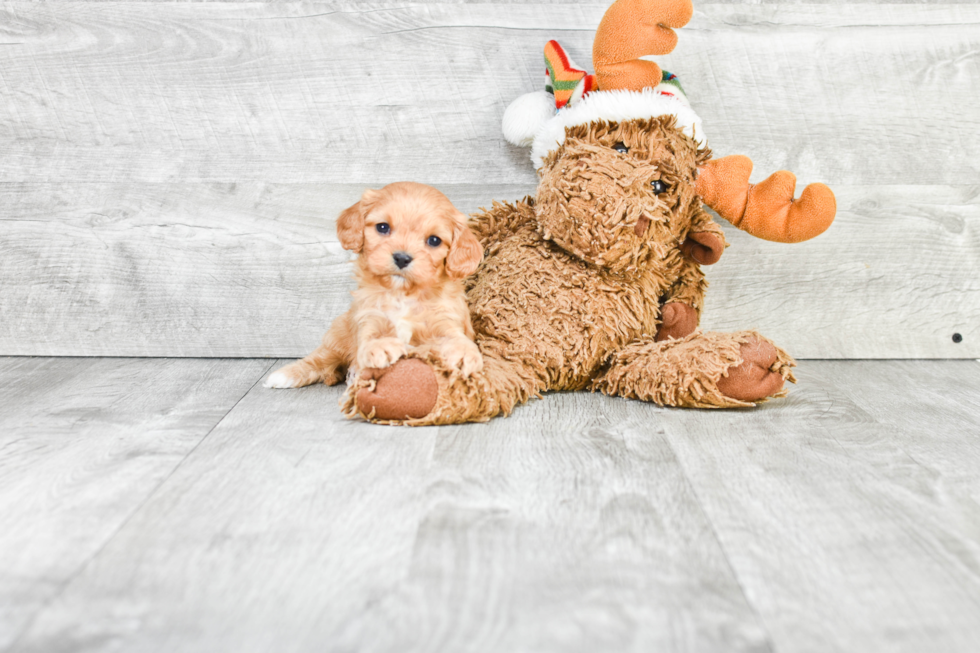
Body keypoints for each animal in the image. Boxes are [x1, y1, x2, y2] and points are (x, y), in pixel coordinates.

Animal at [266, 181, 484, 390]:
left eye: (434, 240)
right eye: (382, 227)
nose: (402, 258)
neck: (402, 294)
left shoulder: (445, 319)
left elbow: (455, 337)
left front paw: (464, 353)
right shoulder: (368, 318)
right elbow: (370, 339)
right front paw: (381, 345)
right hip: (337, 335)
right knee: (320, 358)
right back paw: (285, 375)